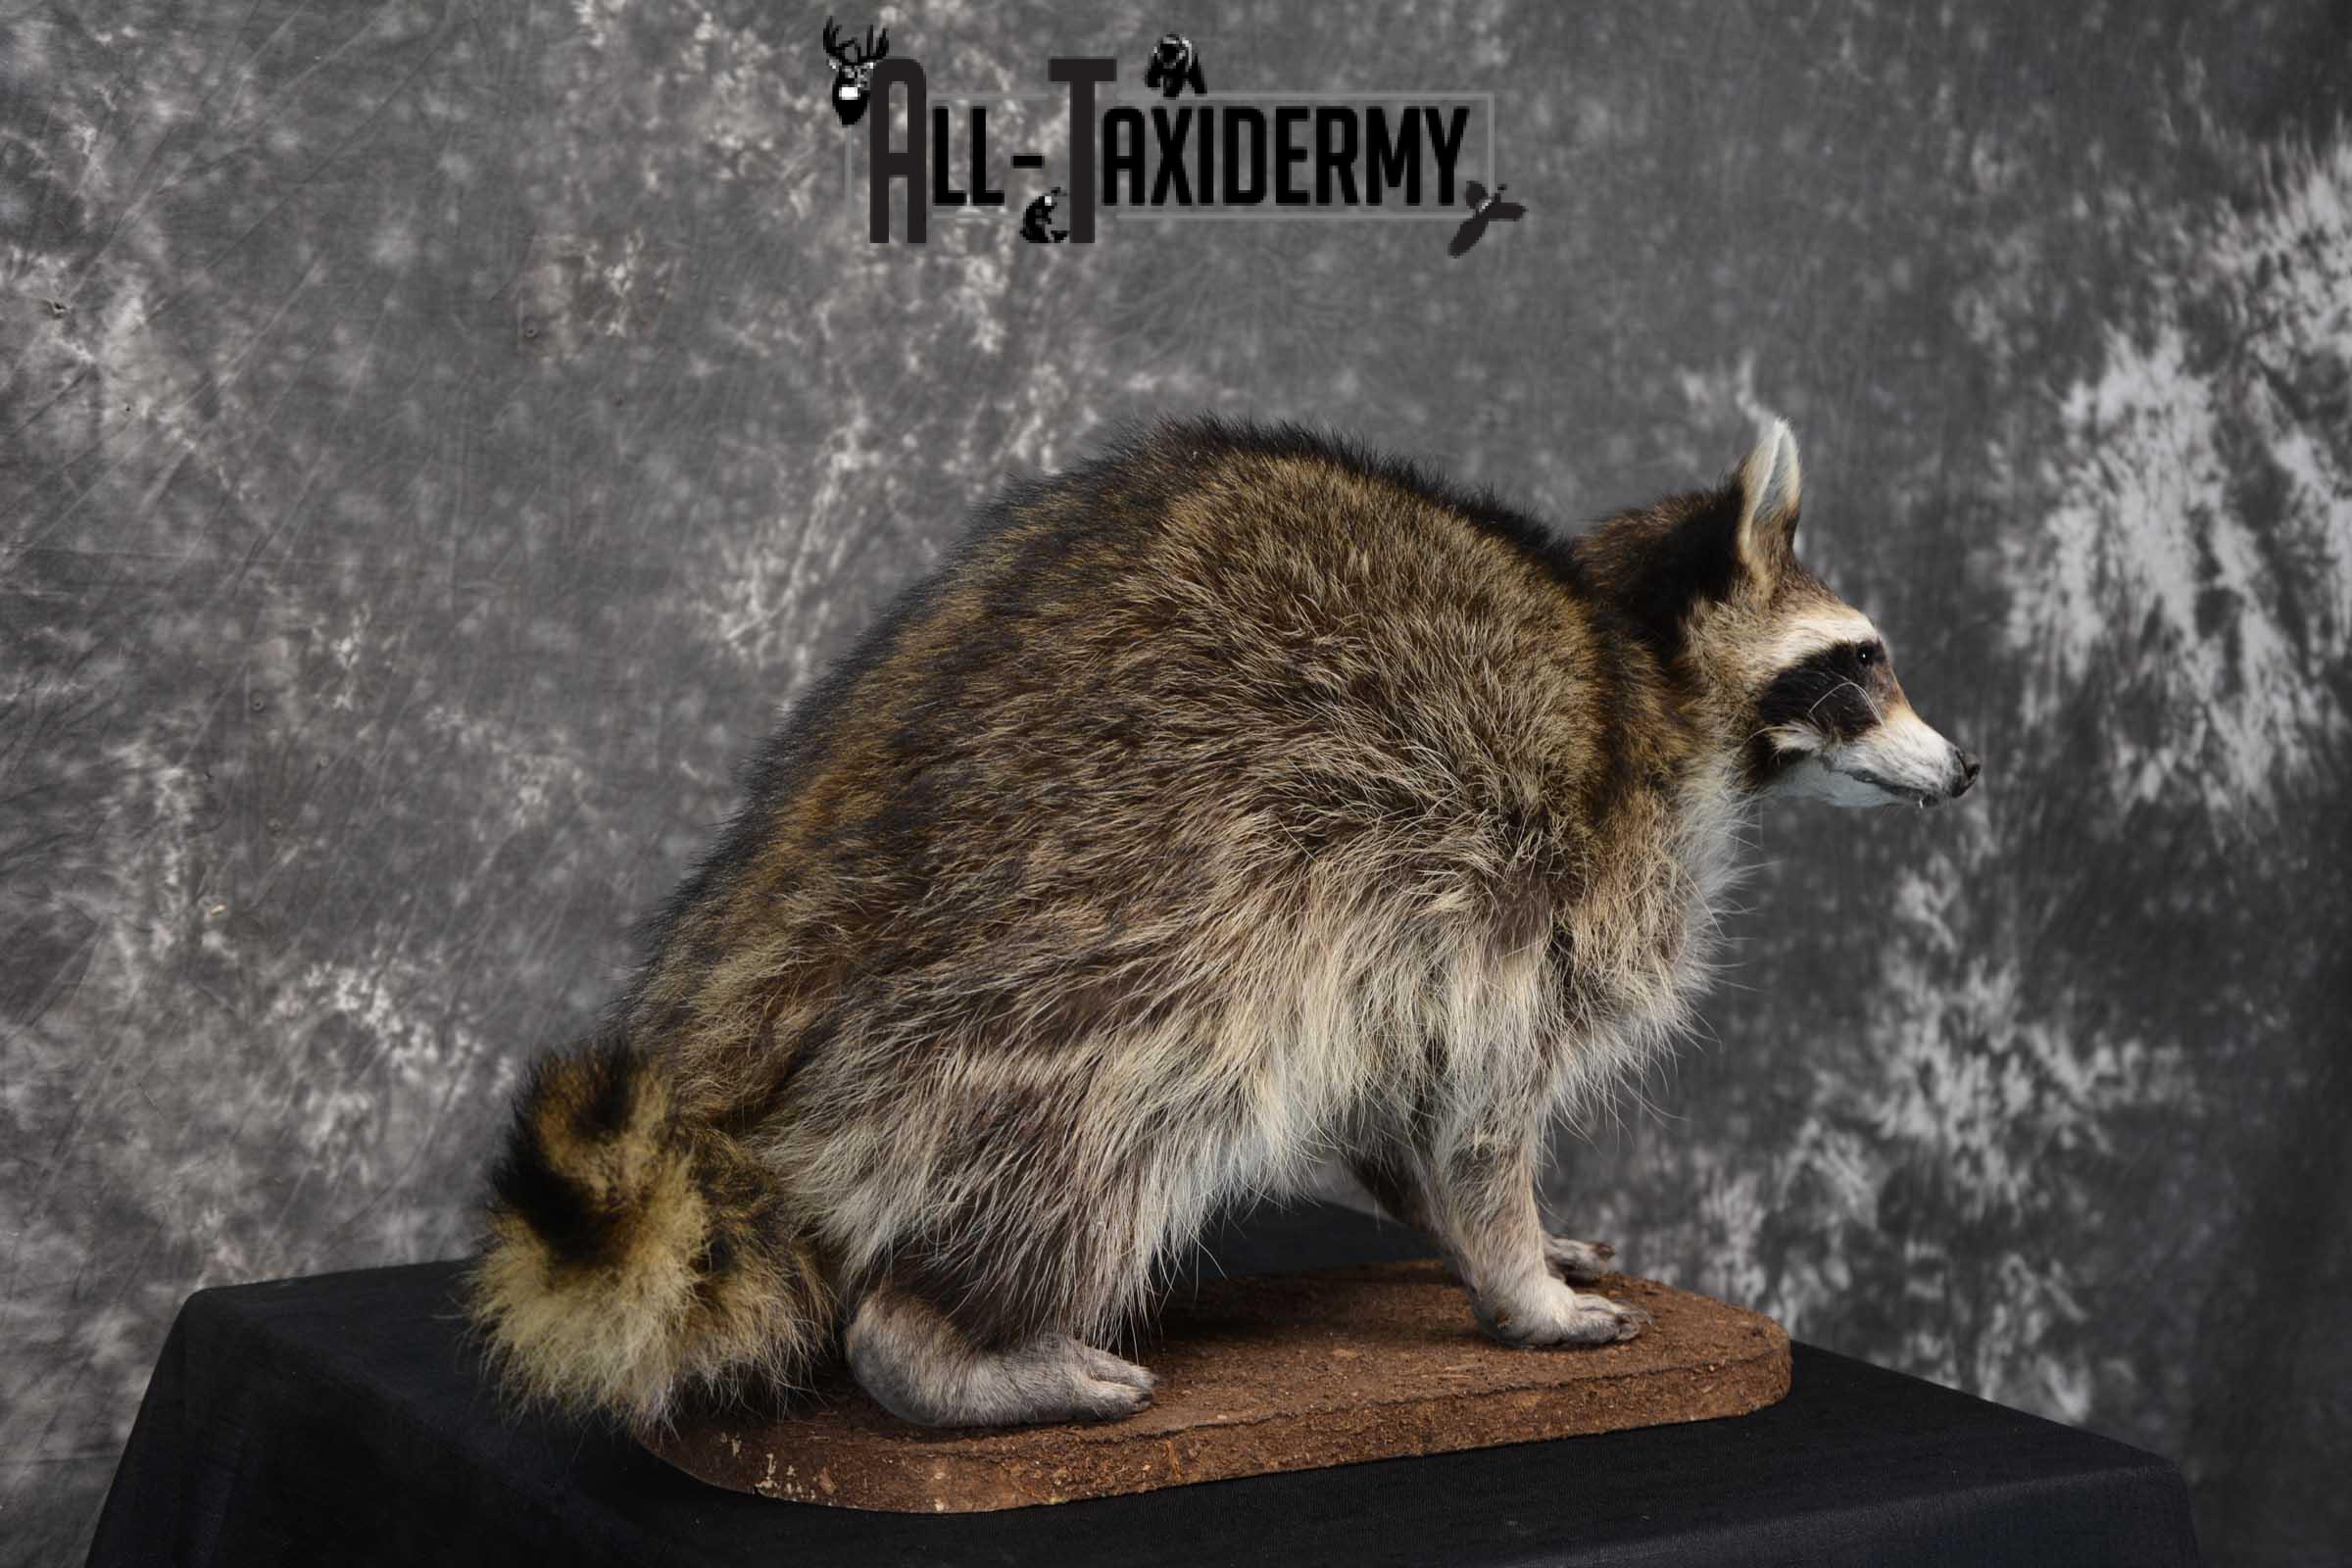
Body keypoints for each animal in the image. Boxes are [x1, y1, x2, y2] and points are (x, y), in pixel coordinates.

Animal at [468, 415, 1977, 1430]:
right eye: (1859, 668)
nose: (1965, 768)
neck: (1642, 674)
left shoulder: (1410, 929)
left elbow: (1394, 1106)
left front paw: (1493, 1240)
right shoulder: (1532, 887)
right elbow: (1483, 1115)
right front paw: (1517, 1272)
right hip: (1103, 943)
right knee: (1130, 1111)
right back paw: (941, 1343)